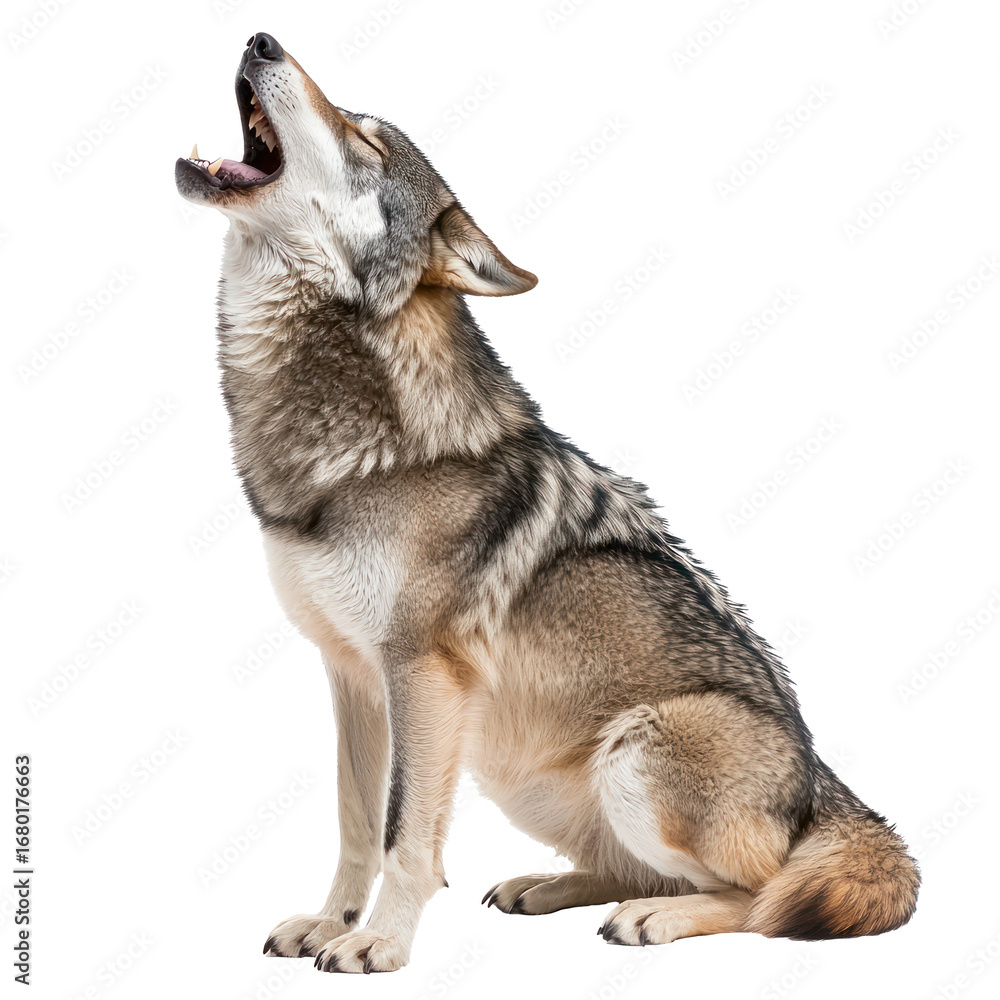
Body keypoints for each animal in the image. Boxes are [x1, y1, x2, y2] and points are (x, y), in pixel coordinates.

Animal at [176, 33, 919, 974]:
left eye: (364, 138)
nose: (261, 39)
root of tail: (826, 784)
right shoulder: (352, 673)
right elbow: (355, 821)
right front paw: (329, 921)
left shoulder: (422, 672)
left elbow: (404, 833)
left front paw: (381, 942)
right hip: (516, 771)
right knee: (636, 869)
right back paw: (548, 887)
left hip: (633, 747)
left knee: (760, 894)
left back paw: (654, 918)